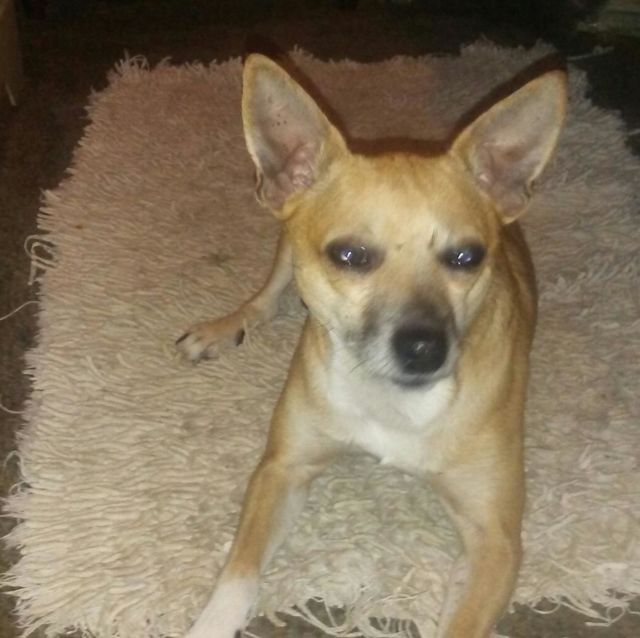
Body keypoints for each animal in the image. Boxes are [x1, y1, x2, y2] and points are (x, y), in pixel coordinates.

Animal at [176, 54, 567, 638]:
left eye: (468, 257)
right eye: (350, 255)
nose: (425, 347)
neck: (394, 399)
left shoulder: (497, 540)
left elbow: (463, 618)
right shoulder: (281, 470)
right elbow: (238, 575)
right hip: (284, 250)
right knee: (263, 302)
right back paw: (220, 329)